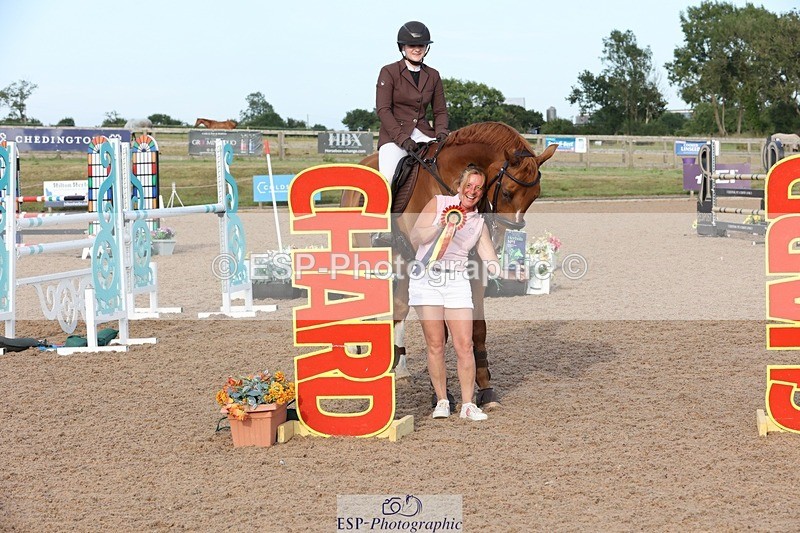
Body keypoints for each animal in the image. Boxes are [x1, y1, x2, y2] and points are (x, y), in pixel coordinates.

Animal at [341, 121, 558, 408]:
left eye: (535, 196)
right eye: (507, 192)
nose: (498, 241)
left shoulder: (473, 267)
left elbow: (478, 329)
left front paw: (486, 390)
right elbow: (440, 331)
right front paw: (441, 393)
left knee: (398, 307)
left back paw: (400, 368)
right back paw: (356, 350)